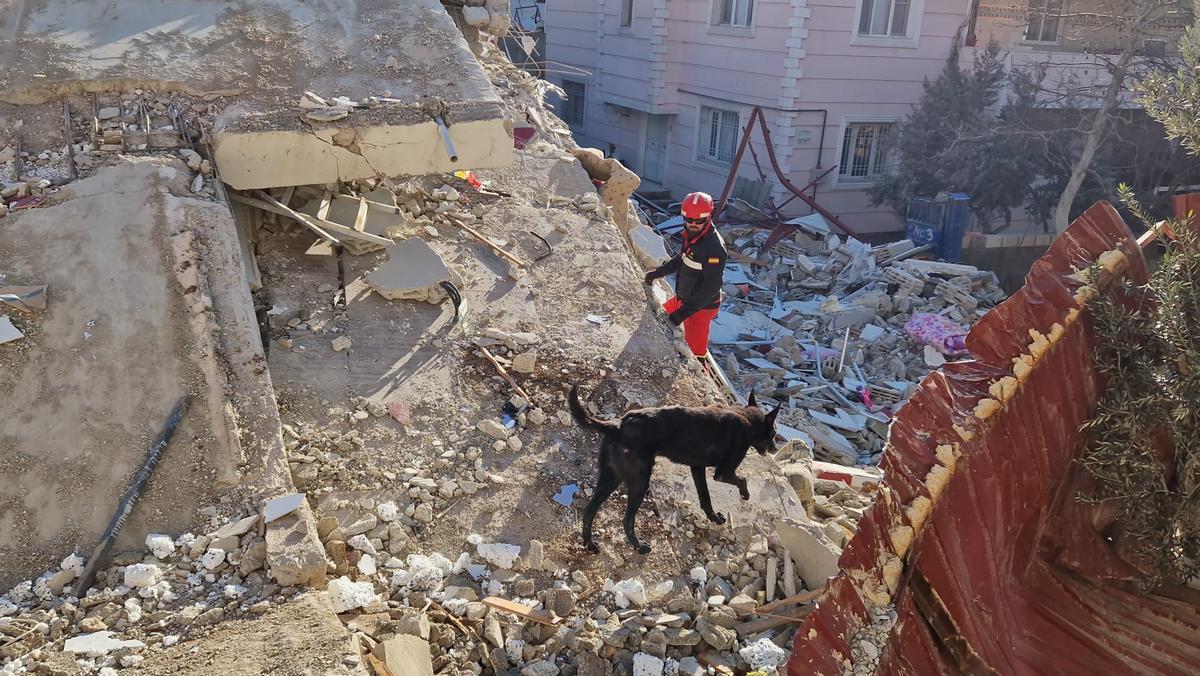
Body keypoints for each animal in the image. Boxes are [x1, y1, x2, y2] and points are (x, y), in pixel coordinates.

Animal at [566, 386, 782, 554]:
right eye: (773, 433)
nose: (775, 448)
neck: (746, 419)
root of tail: (617, 426)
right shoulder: (723, 473)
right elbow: (742, 479)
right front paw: (745, 494)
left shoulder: (697, 468)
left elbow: (705, 499)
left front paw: (713, 518)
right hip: (640, 480)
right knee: (627, 520)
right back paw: (639, 547)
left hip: (611, 478)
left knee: (589, 511)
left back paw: (590, 544)